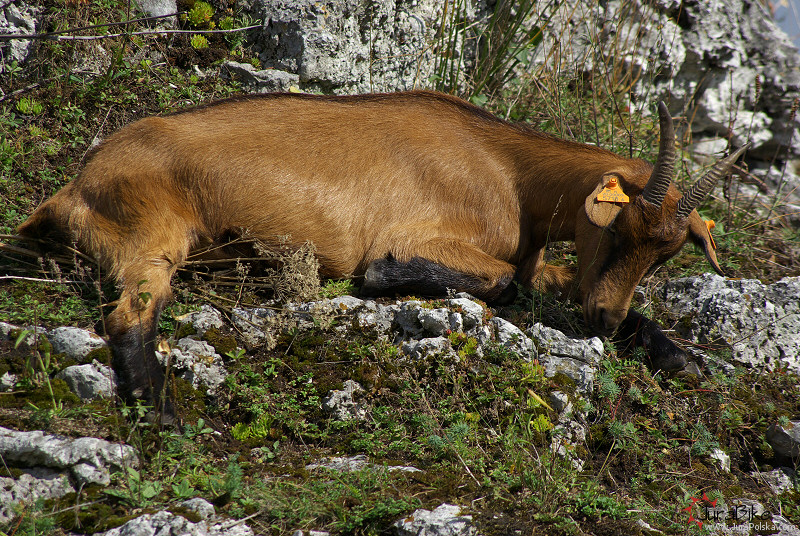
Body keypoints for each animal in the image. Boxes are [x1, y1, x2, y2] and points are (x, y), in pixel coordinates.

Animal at [15, 91, 748, 418]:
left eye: (666, 257)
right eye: (618, 231)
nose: (602, 319)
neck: (507, 169)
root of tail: (76, 186)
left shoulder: (548, 266)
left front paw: (684, 357)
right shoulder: (426, 235)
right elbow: (500, 283)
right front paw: (380, 279)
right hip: (156, 236)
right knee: (127, 314)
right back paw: (161, 411)